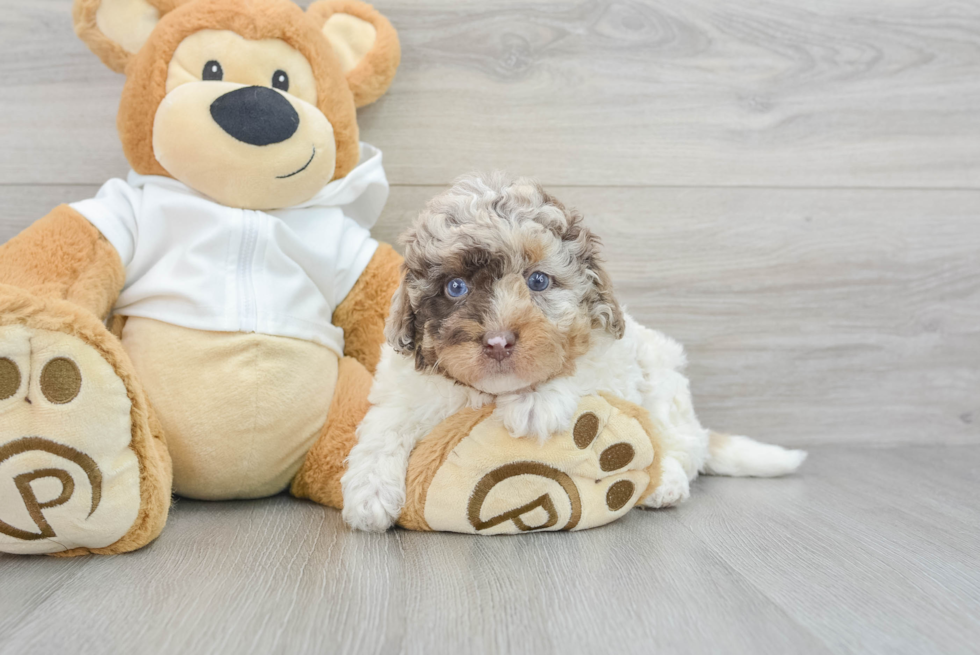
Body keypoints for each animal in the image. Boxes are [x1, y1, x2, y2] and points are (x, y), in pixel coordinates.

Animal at [340, 173, 808, 532]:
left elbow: (578, 369)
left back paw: (665, 485)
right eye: (455, 287)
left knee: (678, 445)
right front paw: (369, 496)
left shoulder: (614, 357)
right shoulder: (403, 389)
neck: (491, 392)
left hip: (663, 379)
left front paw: (533, 401)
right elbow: (384, 428)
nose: (497, 341)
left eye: (538, 281)